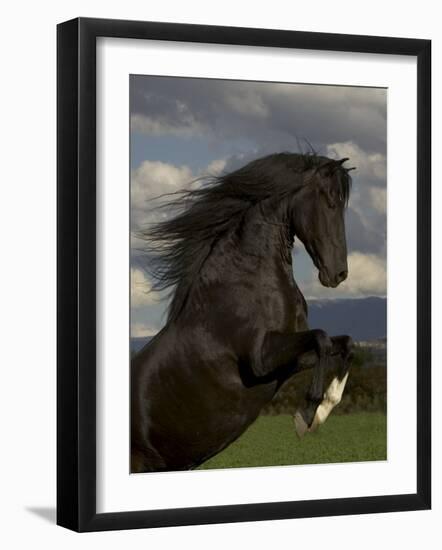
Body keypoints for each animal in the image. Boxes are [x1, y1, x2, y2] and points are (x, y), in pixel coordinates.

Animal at [131, 152, 356, 474]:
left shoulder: (291, 359)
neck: (247, 280)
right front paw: (306, 418)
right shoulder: (260, 359)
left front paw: (320, 413)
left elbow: (345, 344)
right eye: (329, 200)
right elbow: (323, 339)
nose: (338, 274)